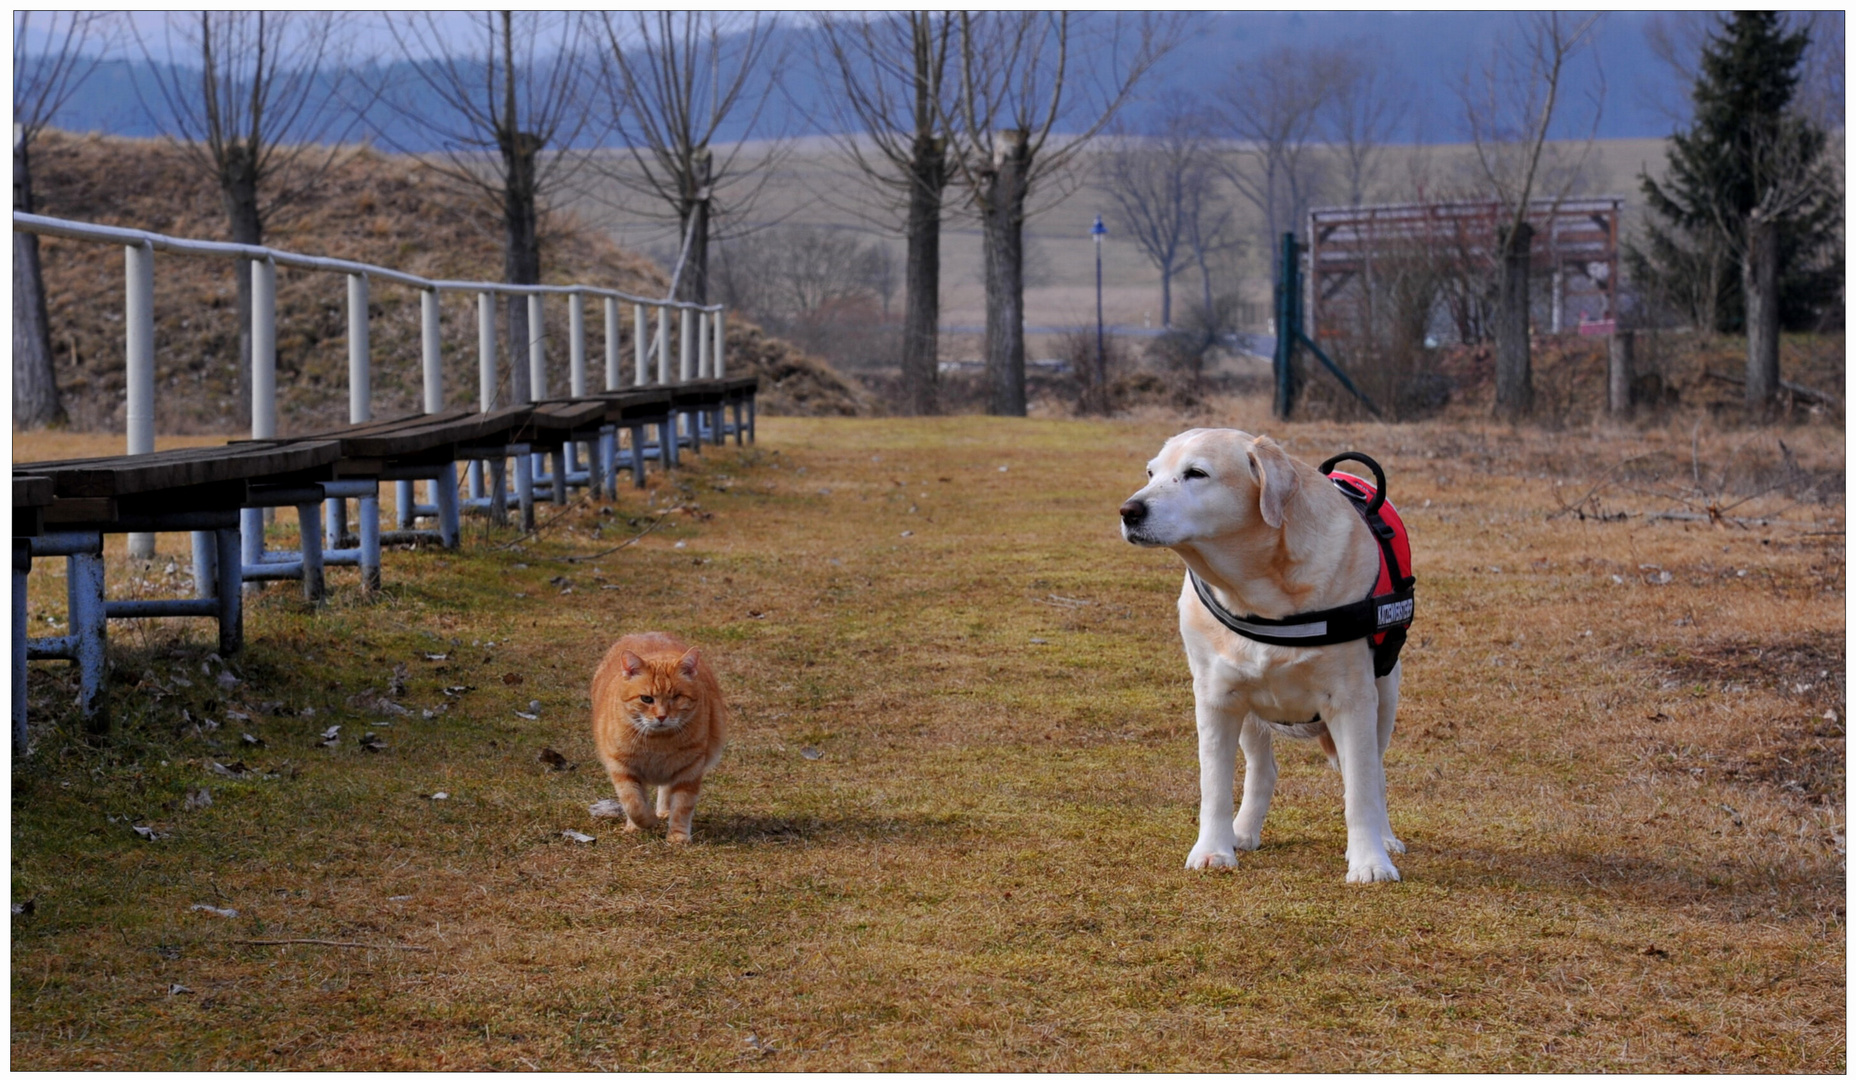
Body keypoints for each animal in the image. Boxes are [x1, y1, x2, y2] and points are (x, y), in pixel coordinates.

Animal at [590, 634, 727, 846]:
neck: (658, 743)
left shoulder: (689, 769)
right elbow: (633, 803)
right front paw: (645, 822)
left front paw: (678, 836)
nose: (662, 717)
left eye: (677, 697)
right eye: (646, 699)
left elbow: (682, 806)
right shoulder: (622, 768)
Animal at [1121, 432, 1410, 890]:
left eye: (1196, 473)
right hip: (1250, 710)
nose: (1129, 511)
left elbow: (1362, 788)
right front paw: (1213, 850)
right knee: (1264, 769)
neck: (1258, 591)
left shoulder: (1352, 700)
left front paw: (1369, 861)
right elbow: (1214, 785)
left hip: (1385, 695)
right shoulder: (1216, 699)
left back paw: (1383, 838)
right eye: (1151, 473)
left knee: (1374, 771)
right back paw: (1242, 830)